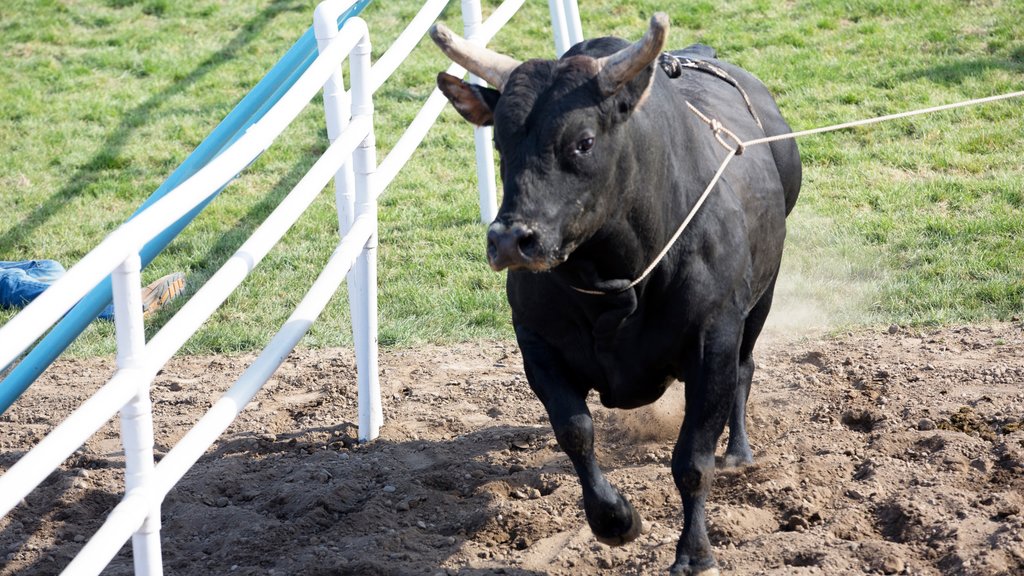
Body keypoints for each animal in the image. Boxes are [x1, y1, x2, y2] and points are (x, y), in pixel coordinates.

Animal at [430, 13, 798, 573]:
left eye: (582, 141)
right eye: (500, 144)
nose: (510, 240)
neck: (616, 277)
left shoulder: (714, 337)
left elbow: (693, 458)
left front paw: (695, 552)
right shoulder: (536, 344)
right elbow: (575, 432)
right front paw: (615, 519)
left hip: (763, 296)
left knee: (745, 368)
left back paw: (737, 453)